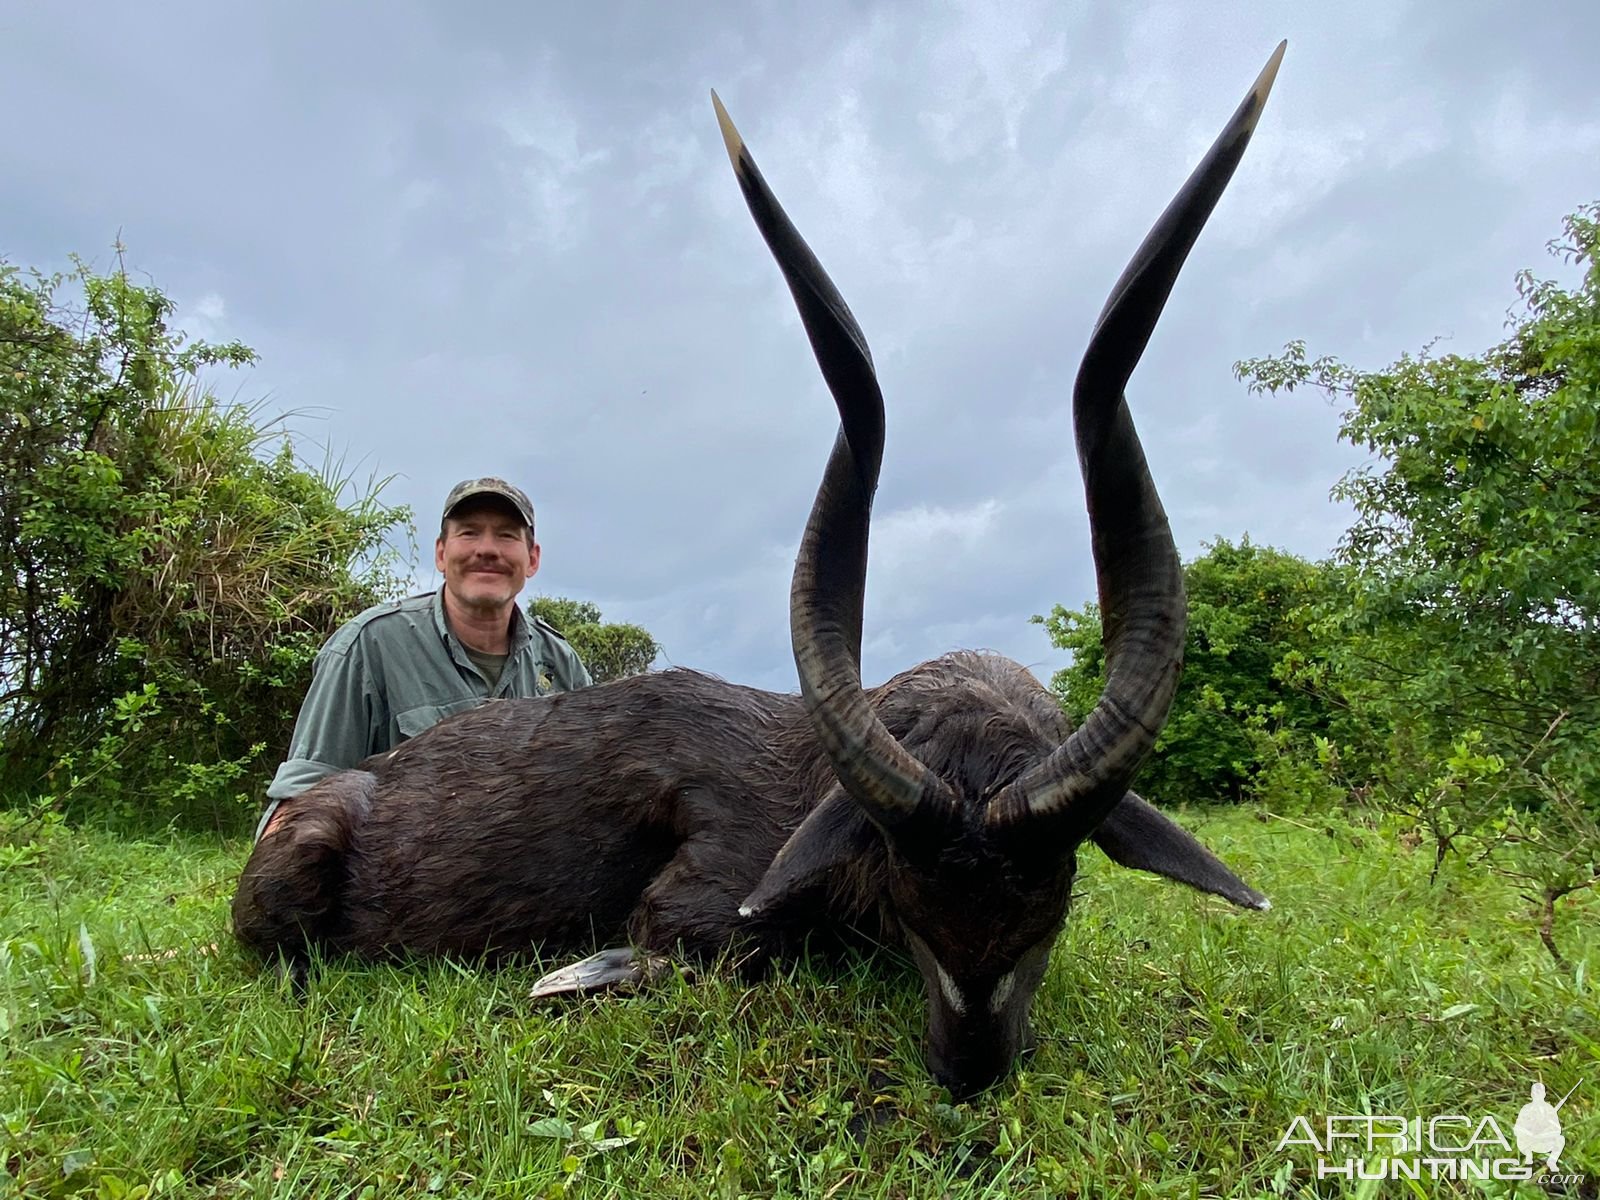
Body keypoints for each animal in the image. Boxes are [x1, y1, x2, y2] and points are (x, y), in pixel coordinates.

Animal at [233, 44, 1286, 1100]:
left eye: (1055, 904)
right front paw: (573, 975)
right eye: (911, 904)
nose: (968, 1070)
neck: (808, 774)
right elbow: (696, 948)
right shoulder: (705, 902)